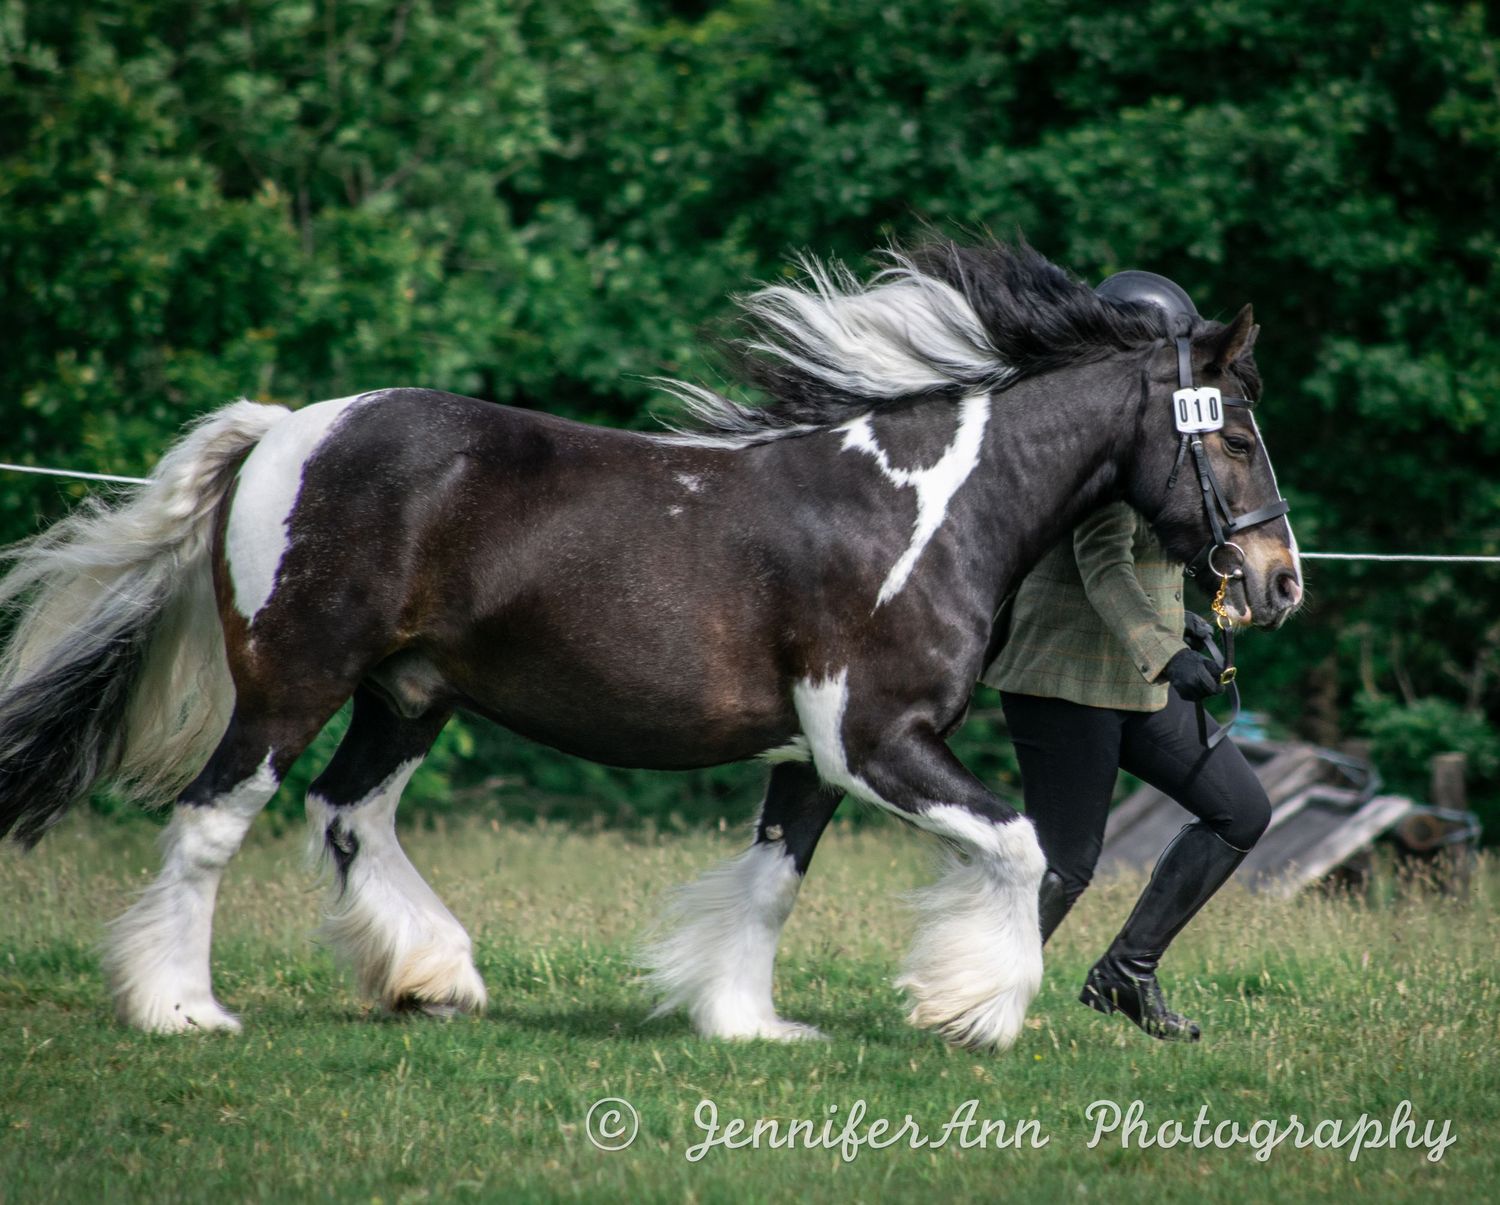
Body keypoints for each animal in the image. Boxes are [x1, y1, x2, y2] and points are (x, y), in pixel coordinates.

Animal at [0, 240, 1301, 1049]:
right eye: (1235, 433)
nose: (1276, 582)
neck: (926, 508)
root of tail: (286, 429)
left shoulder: (811, 755)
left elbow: (775, 879)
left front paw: (747, 1021)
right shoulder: (877, 739)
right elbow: (1025, 847)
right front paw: (970, 1006)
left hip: (409, 693)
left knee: (349, 812)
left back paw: (434, 977)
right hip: (293, 679)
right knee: (213, 821)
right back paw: (181, 1009)